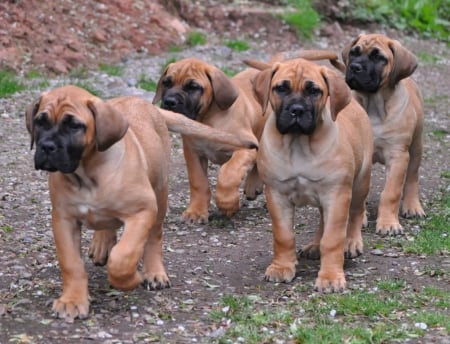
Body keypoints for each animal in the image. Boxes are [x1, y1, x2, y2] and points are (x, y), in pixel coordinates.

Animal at [25, 84, 256, 322]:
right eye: (40, 121)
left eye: (74, 126)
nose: (47, 146)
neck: (87, 174)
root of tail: (148, 105)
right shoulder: (64, 220)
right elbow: (71, 263)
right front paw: (72, 300)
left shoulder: (143, 211)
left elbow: (123, 256)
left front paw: (130, 278)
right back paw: (102, 243)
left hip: (160, 194)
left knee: (154, 237)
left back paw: (154, 272)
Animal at [153, 57, 268, 222]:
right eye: (166, 83)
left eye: (193, 87)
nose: (169, 102)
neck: (207, 119)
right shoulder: (193, 153)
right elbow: (198, 181)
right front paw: (196, 211)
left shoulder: (245, 147)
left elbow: (228, 172)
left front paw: (228, 203)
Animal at [253, 57, 372, 292]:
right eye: (281, 88)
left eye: (314, 91)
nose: (297, 110)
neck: (298, 143)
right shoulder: (277, 195)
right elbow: (283, 235)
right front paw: (282, 267)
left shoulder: (336, 195)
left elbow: (333, 239)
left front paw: (330, 277)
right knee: (323, 221)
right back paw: (315, 245)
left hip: (360, 183)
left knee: (355, 213)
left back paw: (351, 242)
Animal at [342, 33, 424, 235]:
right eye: (354, 53)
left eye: (378, 57)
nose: (354, 67)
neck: (374, 107)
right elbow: (359, 194)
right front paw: (359, 219)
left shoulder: (398, 155)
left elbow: (391, 192)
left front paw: (388, 223)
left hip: (416, 148)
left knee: (412, 178)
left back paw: (412, 206)